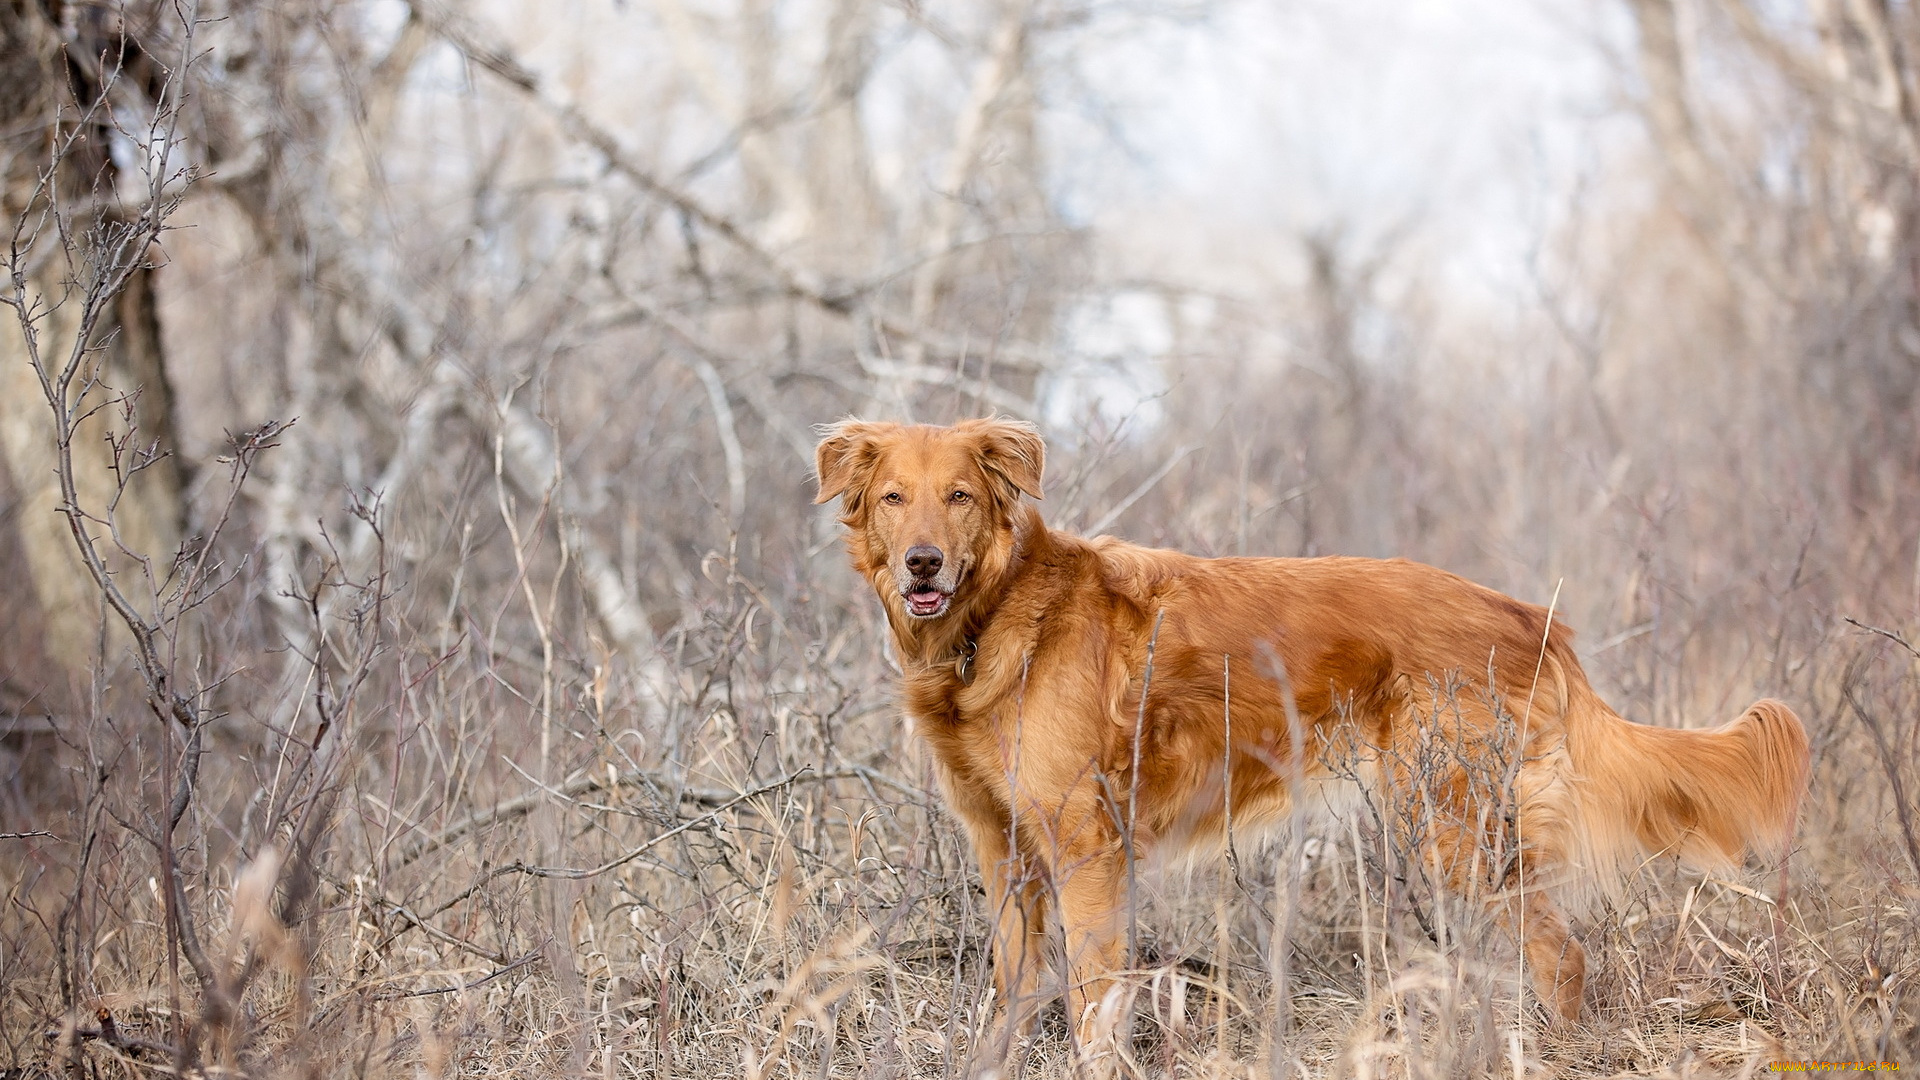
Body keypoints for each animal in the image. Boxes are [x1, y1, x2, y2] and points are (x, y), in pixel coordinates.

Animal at [814, 418, 1812, 1045]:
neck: (995, 620)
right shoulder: (1003, 848)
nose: (923, 564)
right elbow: (1015, 991)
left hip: (1454, 827)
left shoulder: (1085, 845)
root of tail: (1530, 616)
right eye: (895, 497)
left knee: (1564, 953)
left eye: (960, 496)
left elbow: (1097, 1002)